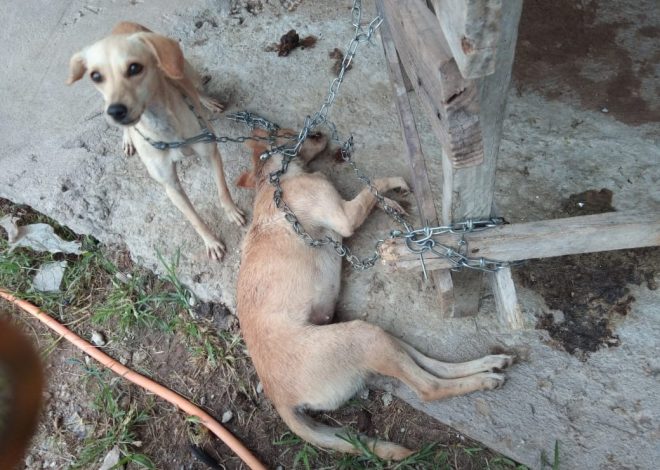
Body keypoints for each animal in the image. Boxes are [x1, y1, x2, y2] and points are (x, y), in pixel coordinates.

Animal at [66, 22, 245, 260]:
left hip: (185, 68)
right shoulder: (170, 185)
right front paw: (211, 241)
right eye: (96, 75)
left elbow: (222, 190)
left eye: (134, 68)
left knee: (194, 86)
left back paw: (206, 101)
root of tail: (122, 24)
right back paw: (127, 138)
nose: (116, 111)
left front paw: (232, 212)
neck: (164, 129)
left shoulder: (211, 152)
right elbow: (194, 219)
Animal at [237, 130, 516, 460]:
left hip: (377, 336)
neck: (272, 181)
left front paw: (391, 203)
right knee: (428, 388)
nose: (319, 132)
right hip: (363, 338)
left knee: (431, 364)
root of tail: (279, 399)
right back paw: (483, 379)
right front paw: (392, 186)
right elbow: (373, 187)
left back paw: (490, 364)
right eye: (284, 131)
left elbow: (373, 196)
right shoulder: (344, 215)